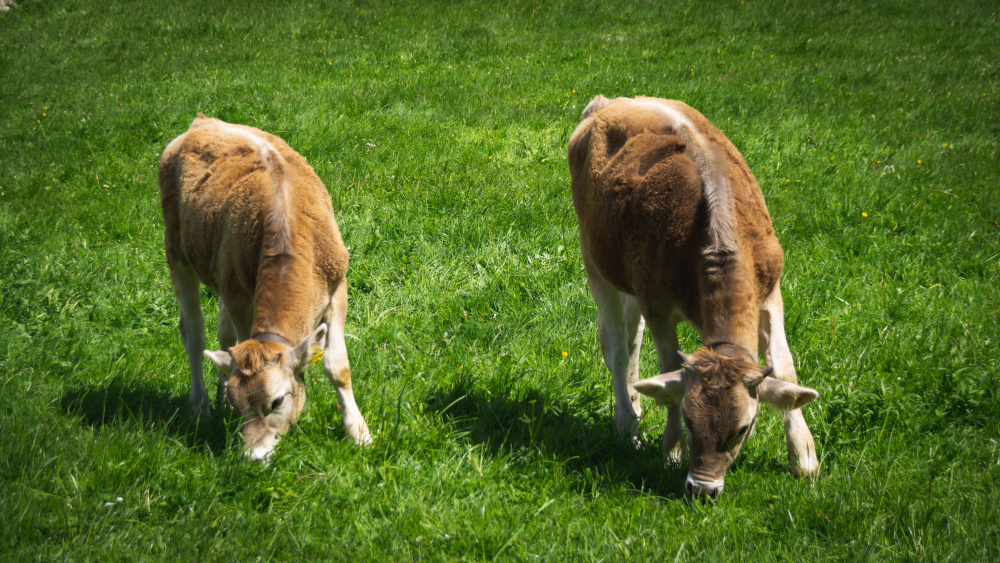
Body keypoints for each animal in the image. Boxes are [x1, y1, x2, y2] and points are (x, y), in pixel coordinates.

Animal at [159, 115, 371, 461]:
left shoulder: (337, 289)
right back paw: (201, 407)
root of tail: (203, 121)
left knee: (222, 336)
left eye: (277, 401)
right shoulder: (240, 301)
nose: (253, 456)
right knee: (193, 333)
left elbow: (338, 366)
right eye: (239, 406)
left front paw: (358, 432)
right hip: (176, 251)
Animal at [568, 95, 819, 497]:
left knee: (632, 337)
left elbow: (785, 369)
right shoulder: (658, 306)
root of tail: (610, 101)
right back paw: (628, 426)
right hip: (595, 259)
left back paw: (636, 402)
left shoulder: (770, 294)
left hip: (630, 279)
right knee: (616, 346)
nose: (702, 488)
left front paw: (804, 457)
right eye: (688, 418)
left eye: (743, 429)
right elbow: (669, 368)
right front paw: (671, 450)